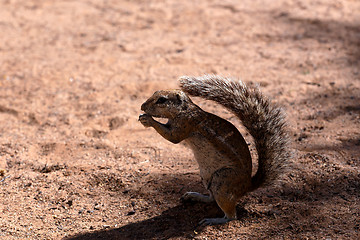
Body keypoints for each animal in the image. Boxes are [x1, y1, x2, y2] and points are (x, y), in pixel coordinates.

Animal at [139, 74, 292, 225]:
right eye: (155, 92)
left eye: (162, 100)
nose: (142, 106)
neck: (184, 110)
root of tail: (248, 185)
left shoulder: (185, 124)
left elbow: (172, 138)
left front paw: (148, 120)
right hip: (207, 177)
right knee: (211, 198)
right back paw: (194, 196)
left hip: (222, 181)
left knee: (231, 216)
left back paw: (213, 220)